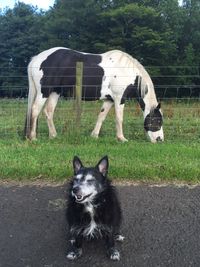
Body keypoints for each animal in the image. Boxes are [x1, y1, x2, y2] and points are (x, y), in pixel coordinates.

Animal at [25, 47, 164, 143]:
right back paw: (33, 137)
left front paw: (94, 135)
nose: (160, 140)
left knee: (48, 111)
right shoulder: (119, 98)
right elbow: (119, 118)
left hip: (55, 92)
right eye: (157, 120)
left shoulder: (109, 100)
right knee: (35, 110)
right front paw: (121, 138)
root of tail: (37, 58)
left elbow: (101, 116)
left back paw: (53, 135)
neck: (127, 71)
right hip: (44, 92)